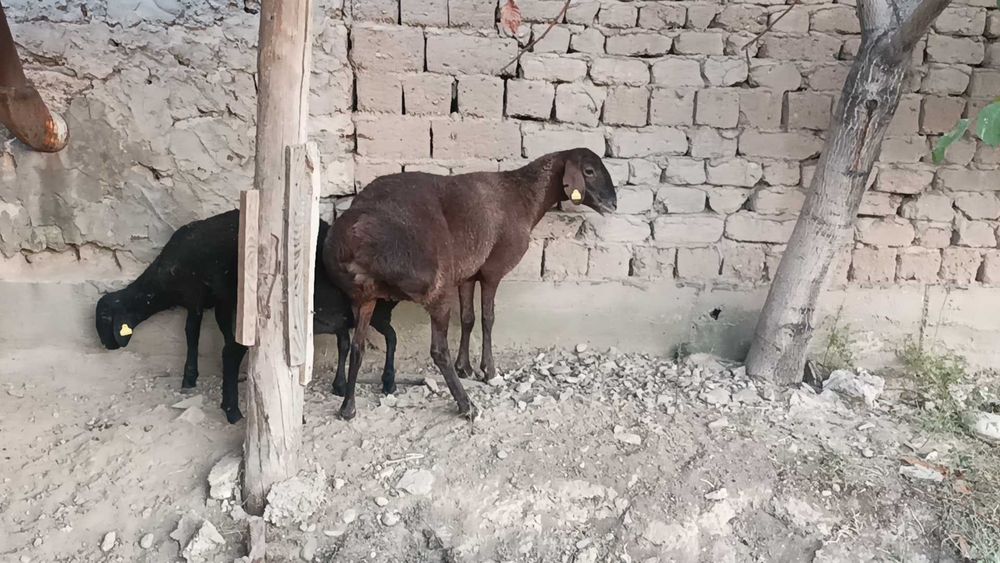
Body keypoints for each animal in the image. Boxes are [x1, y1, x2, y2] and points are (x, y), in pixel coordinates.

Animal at [95, 209, 398, 424]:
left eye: (106, 319)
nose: (108, 346)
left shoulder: (201, 299)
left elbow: (347, 345)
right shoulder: (202, 300)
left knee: (229, 350)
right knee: (231, 352)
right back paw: (234, 411)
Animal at [324, 148, 617, 421]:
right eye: (589, 171)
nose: (613, 204)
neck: (524, 196)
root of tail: (353, 239)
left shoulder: (466, 274)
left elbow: (468, 318)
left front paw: (464, 367)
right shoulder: (491, 271)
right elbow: (488, 319)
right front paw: (489, 371)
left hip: (363, 296)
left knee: (358, 347)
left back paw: (348, 407)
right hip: (434, 289)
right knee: (438, 350)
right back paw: (466, 405)